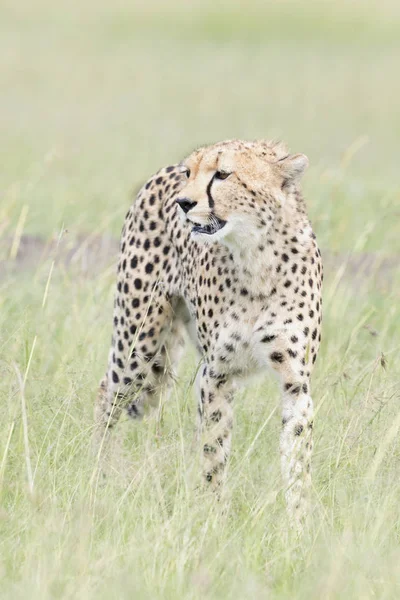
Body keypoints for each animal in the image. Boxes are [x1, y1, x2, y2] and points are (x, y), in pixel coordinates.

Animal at [95, 138, 324, 528]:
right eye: (192, 172)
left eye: (223, 174)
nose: (183, 203)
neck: (256, 257)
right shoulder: (216, 374)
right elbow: (214, 450)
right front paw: (215, 517)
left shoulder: (296, 380)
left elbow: (297, 455)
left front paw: (298, 525)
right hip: (137, 345)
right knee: (106, 396)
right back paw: (97, 474)